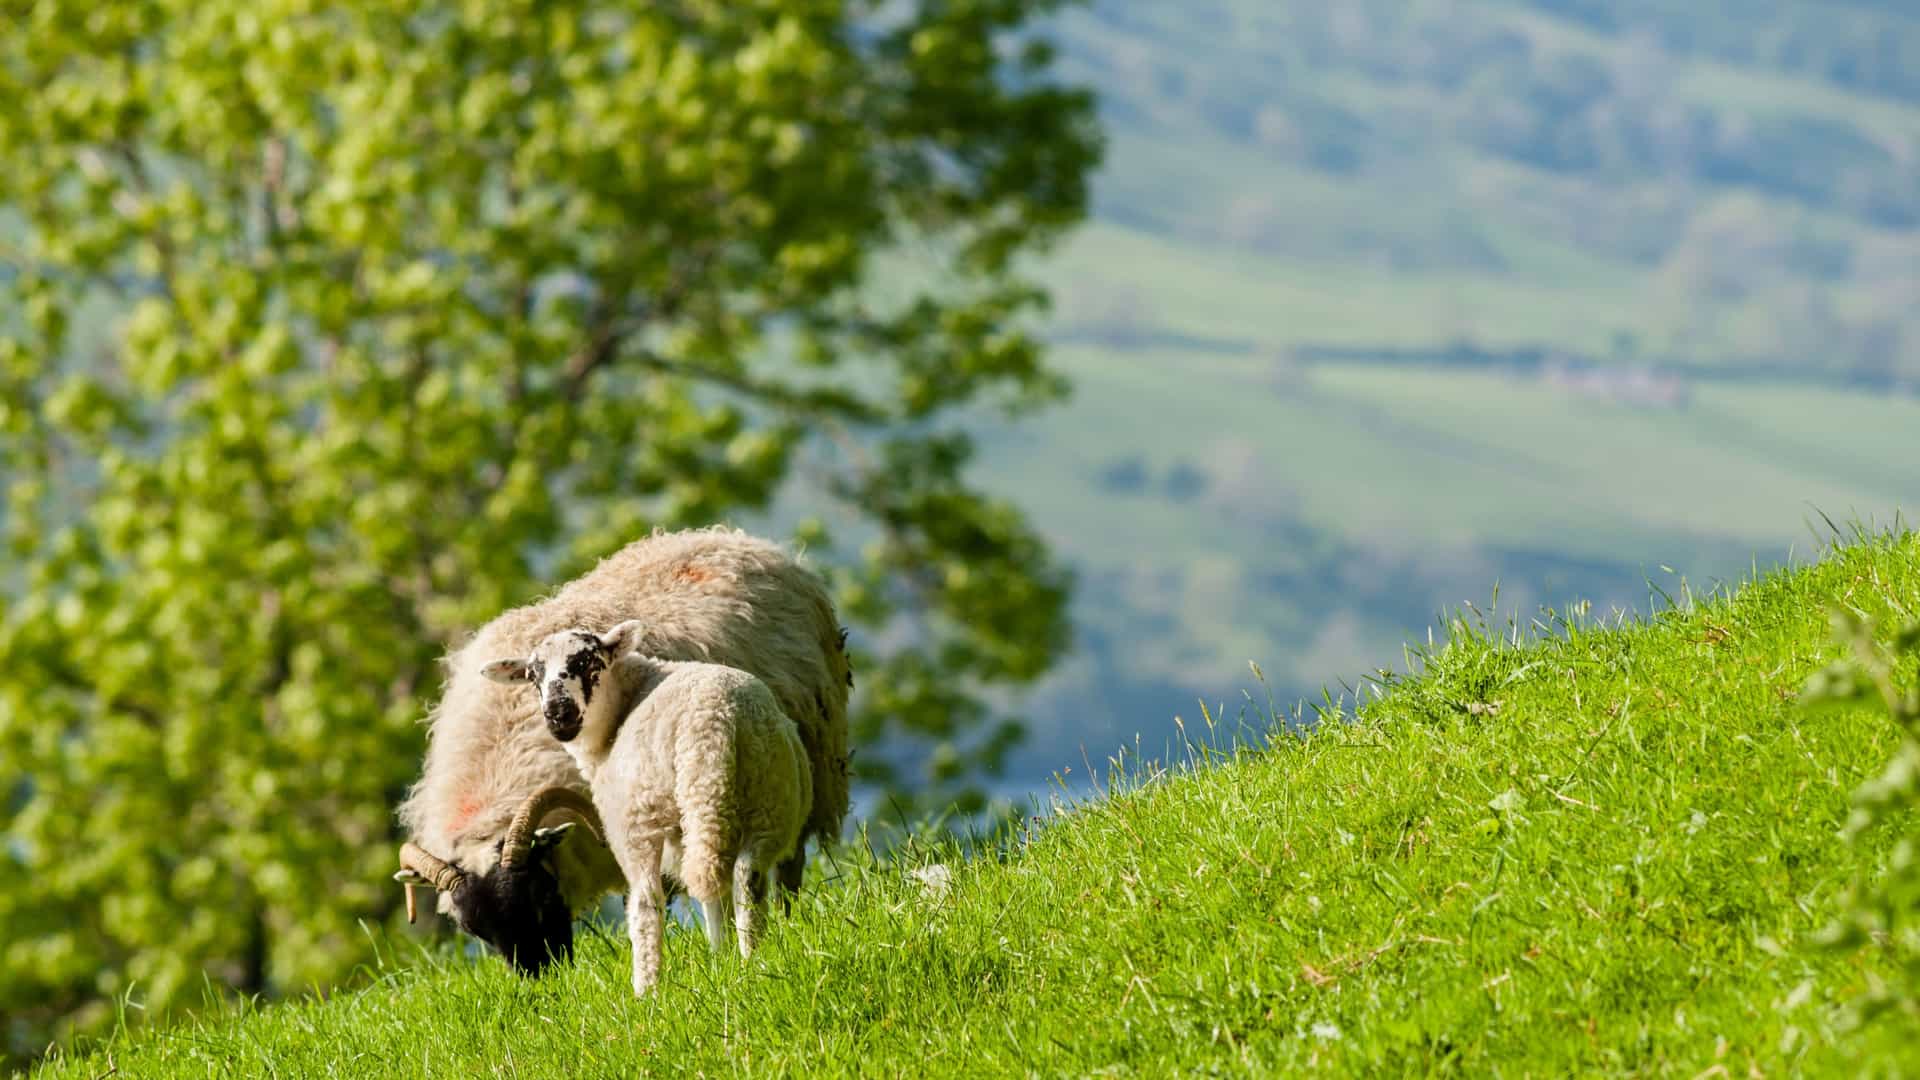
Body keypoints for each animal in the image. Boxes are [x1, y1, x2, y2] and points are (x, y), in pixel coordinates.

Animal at [480, 621, 812, 994]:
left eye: (589, 663)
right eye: (532, 675)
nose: (557, 714)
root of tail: (718, 724)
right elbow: (713, 901)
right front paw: (720, 958)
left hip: (647, 817)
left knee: (647, 900)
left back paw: (646, 989)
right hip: (769, 801)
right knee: (745, 876)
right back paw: (751, 958)